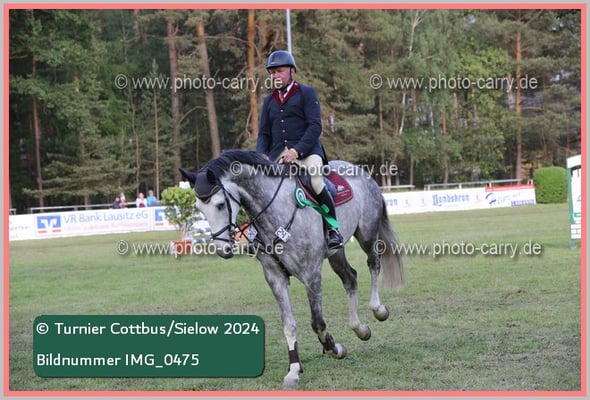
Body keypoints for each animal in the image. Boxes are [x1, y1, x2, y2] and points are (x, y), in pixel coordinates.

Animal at [179, 150, 405, 387]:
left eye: (220, 205)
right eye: (199, 208)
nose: (222, 249)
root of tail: (359, 170)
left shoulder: (311, 274)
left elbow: (317, 322)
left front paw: (333, 348)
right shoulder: (275, 278)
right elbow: (289, 324)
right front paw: (294, 370)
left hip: (367, 235)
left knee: (374, 264)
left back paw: (378, 309)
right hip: (336, 253)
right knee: (350, 278)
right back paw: (360, 329)